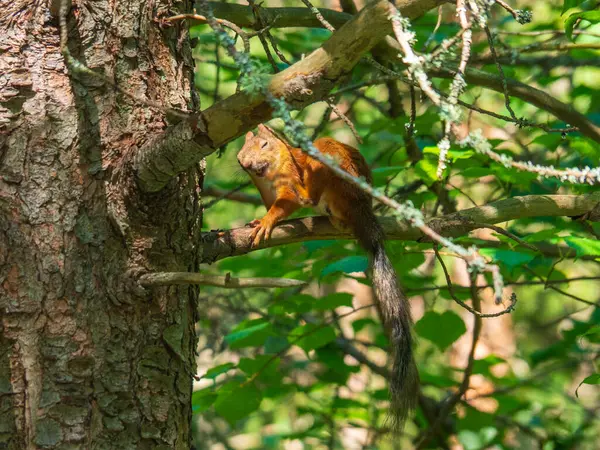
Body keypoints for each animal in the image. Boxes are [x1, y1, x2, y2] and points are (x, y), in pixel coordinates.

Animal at [237, 123, 420, 428]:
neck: (271, 174)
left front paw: (266, 221)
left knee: (314, 191)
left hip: (335, 174)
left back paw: (311, 195)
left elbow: (285, 204)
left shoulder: (289, 179)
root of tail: (364, 213)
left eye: (264, 145)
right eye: (240, 157)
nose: (248, 164)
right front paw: (259, 218)